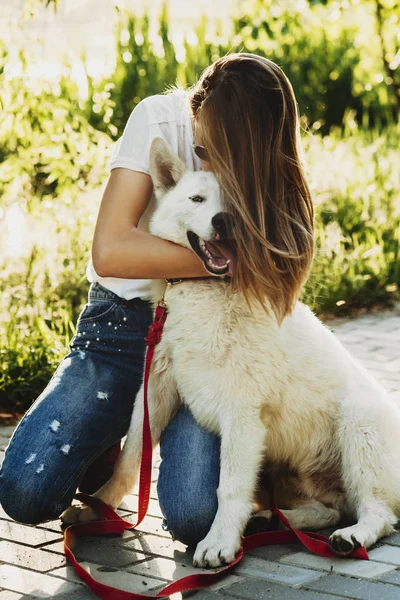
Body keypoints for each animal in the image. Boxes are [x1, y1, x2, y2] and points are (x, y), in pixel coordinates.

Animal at [61, 138, 400, 568]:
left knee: (377, 512)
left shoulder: (242, 415)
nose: (225, 221)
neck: (206, 291)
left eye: (238, 202)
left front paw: (219, 541)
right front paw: (99, 507)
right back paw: (269, 520)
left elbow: (229, 489)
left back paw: (348, 536)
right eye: (197, 199)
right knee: (329, 509)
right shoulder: (153, 393)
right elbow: (130, 458)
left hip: (358, 427)